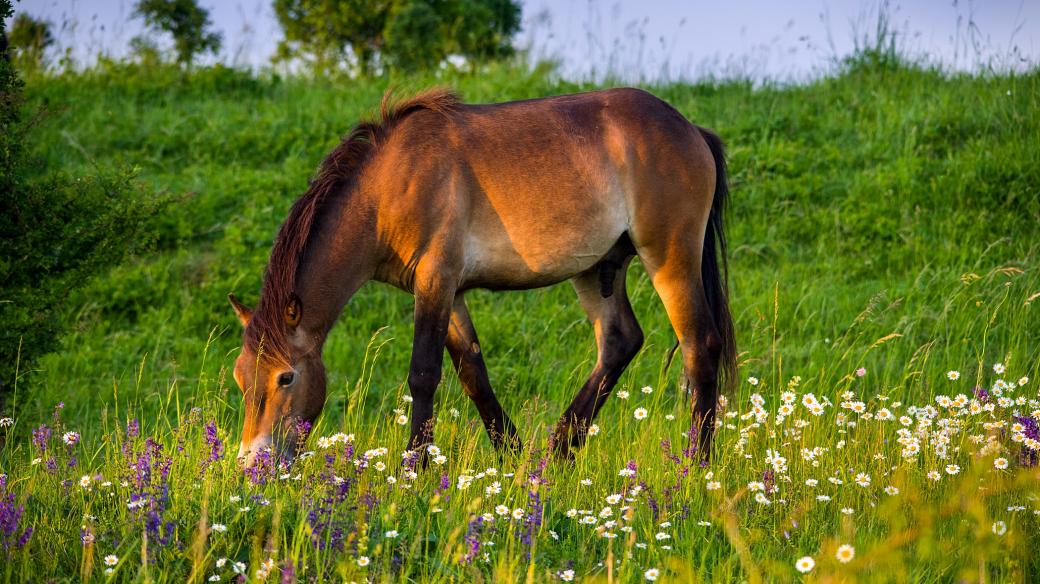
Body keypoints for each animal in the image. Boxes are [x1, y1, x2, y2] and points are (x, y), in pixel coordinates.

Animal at [229, 87, 732, 467]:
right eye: (240, 378)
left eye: (285, 378)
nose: (252, 463)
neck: (389, 185)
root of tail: (691, 130)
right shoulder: (448, 294)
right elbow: (473, 375)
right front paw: (510, 455)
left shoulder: (436, 280)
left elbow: (423, 374)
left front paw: (415, 466)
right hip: (597, 270)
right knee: (619, 342)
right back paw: (559, 450)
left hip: (669, 257)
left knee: (699, 346)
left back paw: (699, 465)